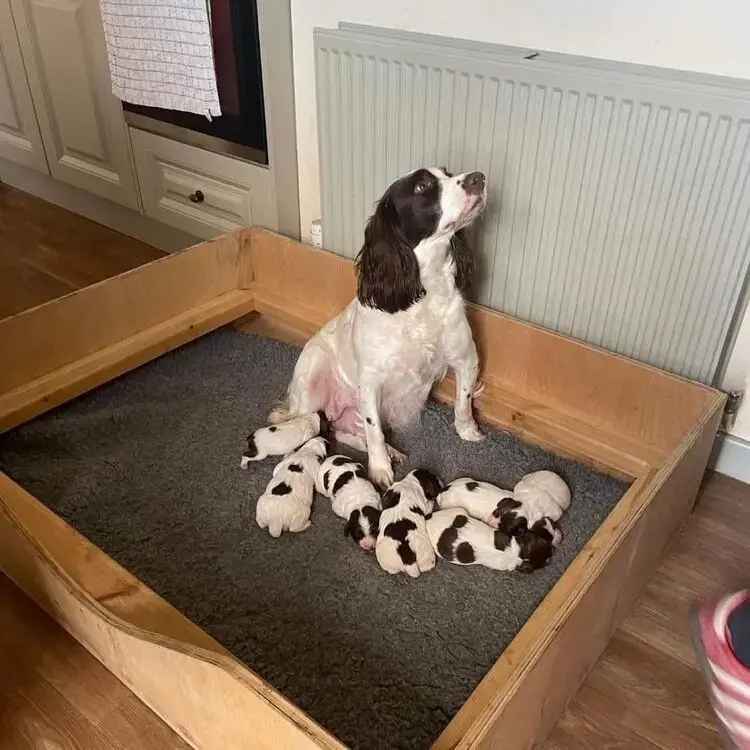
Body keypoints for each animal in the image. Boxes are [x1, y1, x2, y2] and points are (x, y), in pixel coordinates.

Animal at [268, 167, 490, 490]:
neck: (424, 291)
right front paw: (380, 468)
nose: (479, 177)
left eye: (448, 173)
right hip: (312, 374)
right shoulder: (371, 381)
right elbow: (374, 430)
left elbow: (463, 401)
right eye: (423, 185)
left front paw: (468, 432)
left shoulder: (466, 358)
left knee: (346, 432)